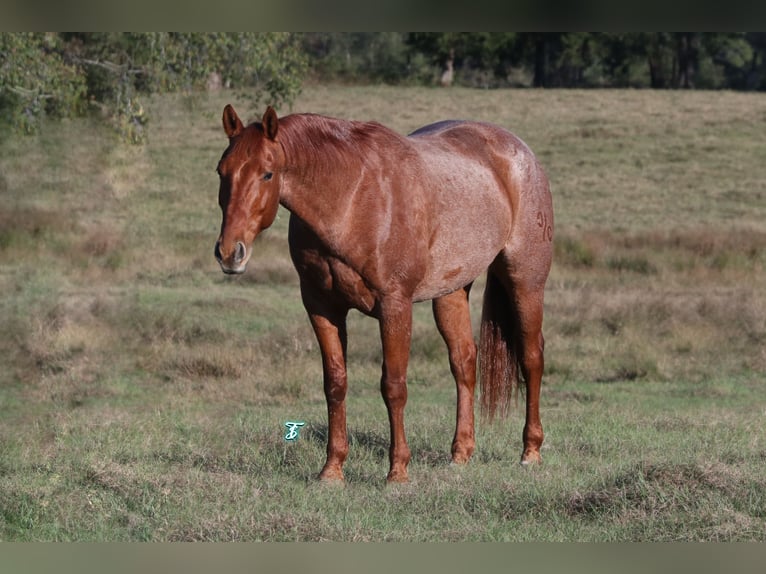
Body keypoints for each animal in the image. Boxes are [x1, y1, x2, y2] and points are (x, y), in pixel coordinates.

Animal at [214, 106, 552, 484]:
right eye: (221, 171)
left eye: (267, 173)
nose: (229, 253)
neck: (351, 199)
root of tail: (519, 152)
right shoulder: (321, 306)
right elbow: (335, 384)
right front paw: (332, 469)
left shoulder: (394, 305)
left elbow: (394, 386)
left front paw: (397, 471)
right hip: (451, 292)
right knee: (464, 361)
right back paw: (461, 453)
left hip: (525, 282)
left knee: (531, 357)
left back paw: (530, 451)